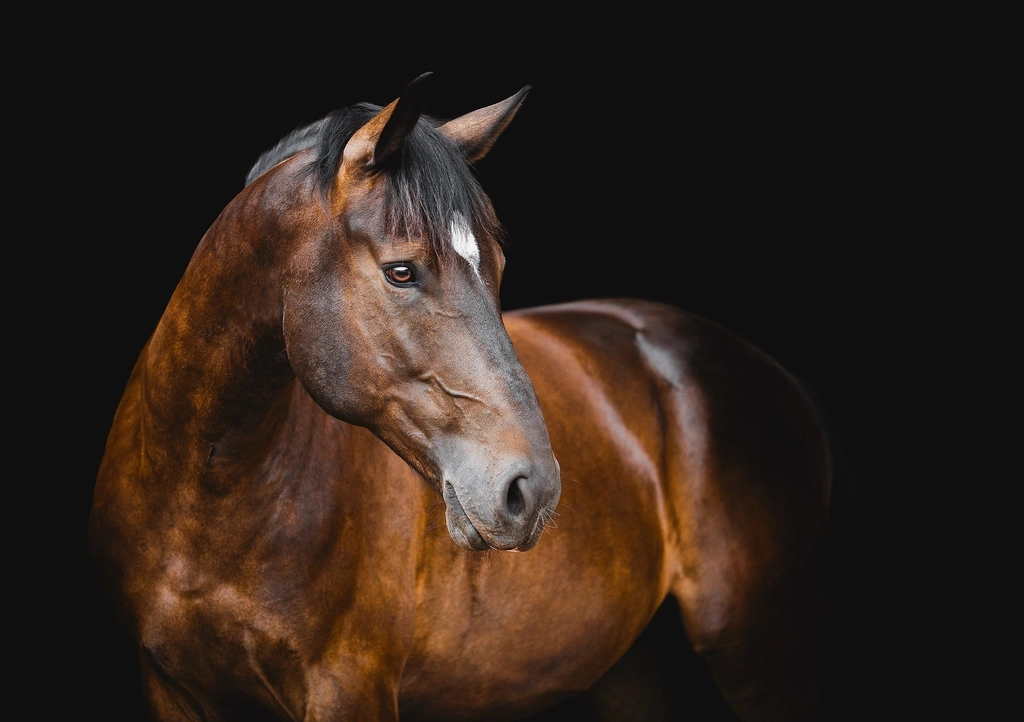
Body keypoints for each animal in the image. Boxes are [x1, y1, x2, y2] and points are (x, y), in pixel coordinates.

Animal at [90, 74, 831, 720]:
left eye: (497, 267)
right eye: (400, 270)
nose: (531, 490)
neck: (212, 495)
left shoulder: (348, 687)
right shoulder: (168, 687)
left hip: (761, 660)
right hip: (632, 670)